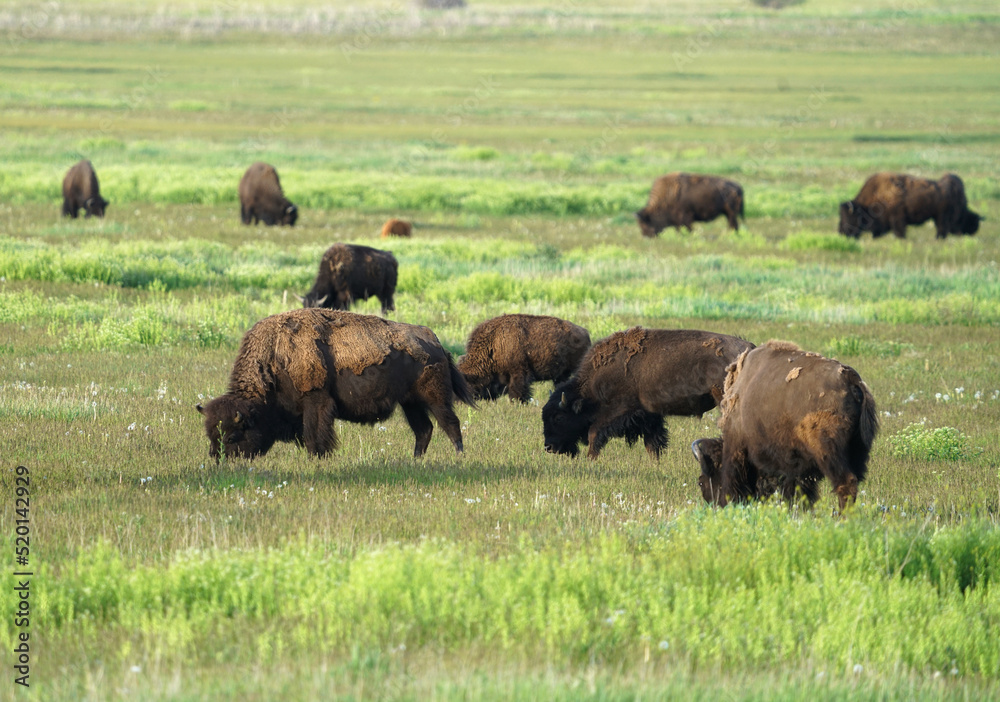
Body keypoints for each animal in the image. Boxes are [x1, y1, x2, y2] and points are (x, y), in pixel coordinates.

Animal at [199, 310, 476, 462]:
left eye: (232, 436)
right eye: (211, 435)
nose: (218, 461)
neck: (275, 358)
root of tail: (436, 343)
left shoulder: (316, 402)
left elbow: (314, 435)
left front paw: (317, 458)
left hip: (434, 398)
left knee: (450, 424)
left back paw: (459, 456)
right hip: (410, 403)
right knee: (424, 429)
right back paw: (416, 459)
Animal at [458, 316, 588, 404]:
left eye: (467, 383)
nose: (459, 400)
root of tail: (585, 332)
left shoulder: (519, 373)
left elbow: (517, 391)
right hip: (561, 376)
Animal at [544, 330, 752, 462]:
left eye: (559, 417)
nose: (549, 447)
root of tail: (749, 348)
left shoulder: (622, 410)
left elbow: (594, 433)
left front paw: (590, 459)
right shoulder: (649, 415)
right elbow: (653, 443)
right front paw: (655, 463)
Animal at [692, 340, 880, 512]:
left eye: (701, 482)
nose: (715, 507)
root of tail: (850, 379)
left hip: (829, 452)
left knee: (845, 483)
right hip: (858, 451)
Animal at [836, 172, 984, 241]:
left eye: (848, 217)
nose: (841, 232)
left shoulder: (897, 219)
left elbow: (899, 231)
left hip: (940, 217)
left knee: (941, 229)